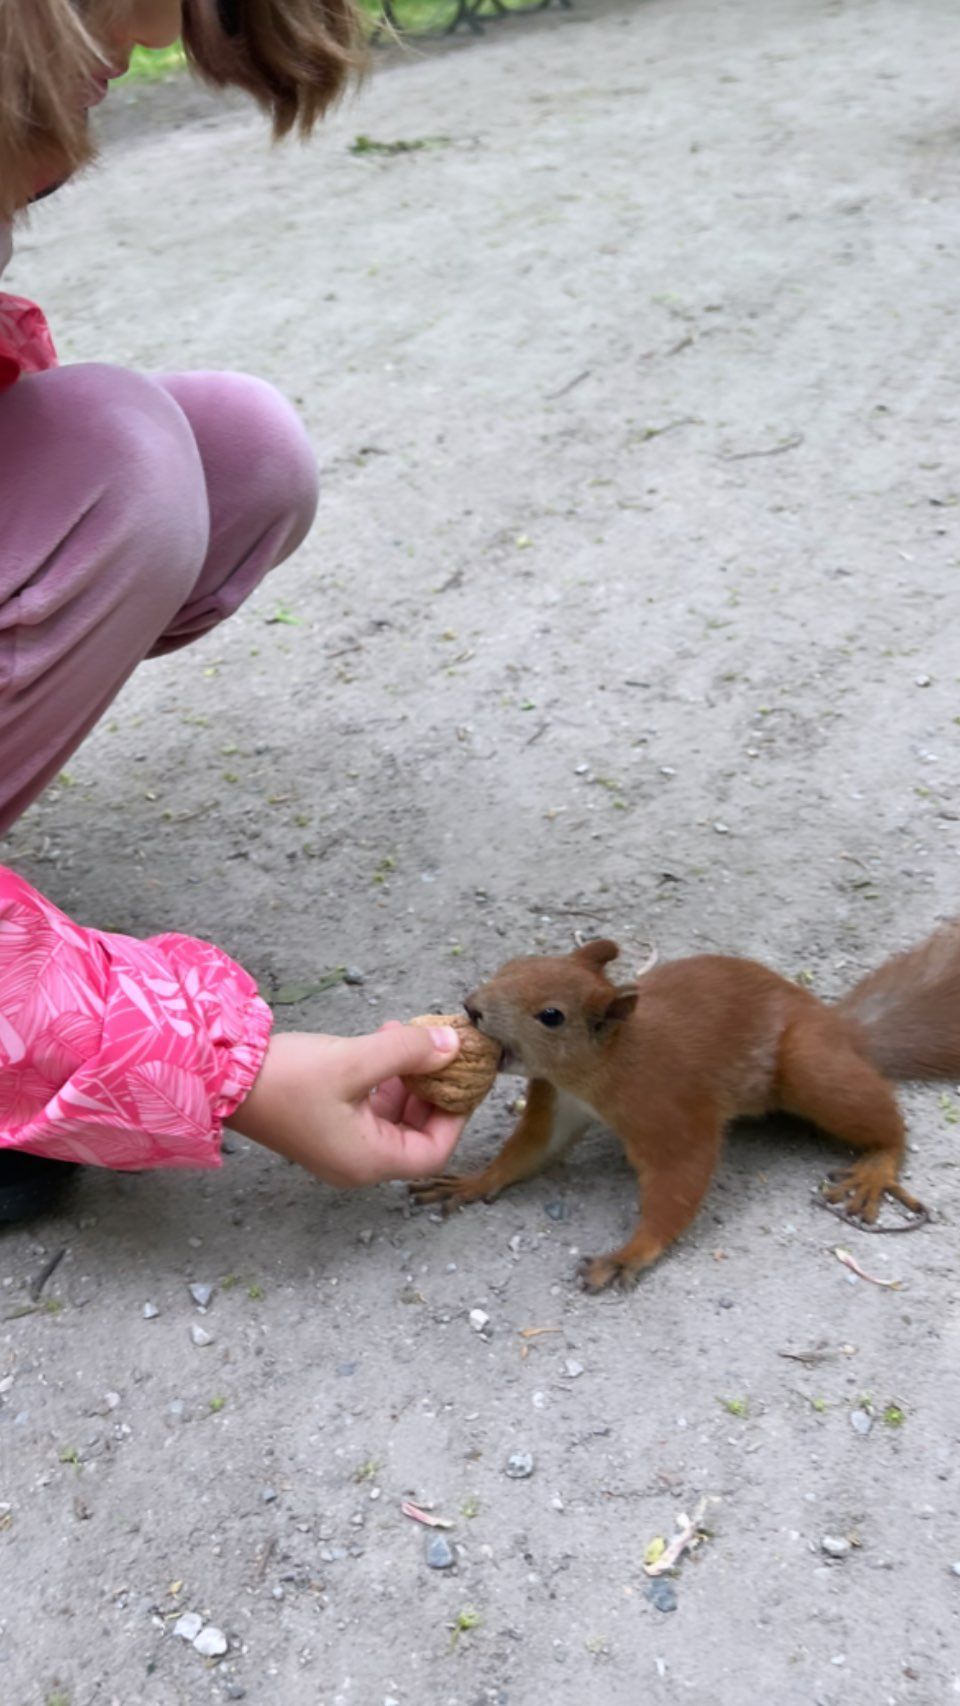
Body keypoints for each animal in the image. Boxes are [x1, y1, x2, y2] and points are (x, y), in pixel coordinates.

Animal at [410, 928, 960, 1282]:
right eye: (512, 965)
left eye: (551, 1016)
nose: (471, 1007)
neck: (604, 1066)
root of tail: (841, 1029)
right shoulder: (560, 1100)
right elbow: (531, 1150)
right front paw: (473, 1181)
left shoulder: (669, 1105)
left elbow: (681, 1176)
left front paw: (630, 1255)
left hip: (810, 1067)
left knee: (886, 1123)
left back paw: (876, 1170)